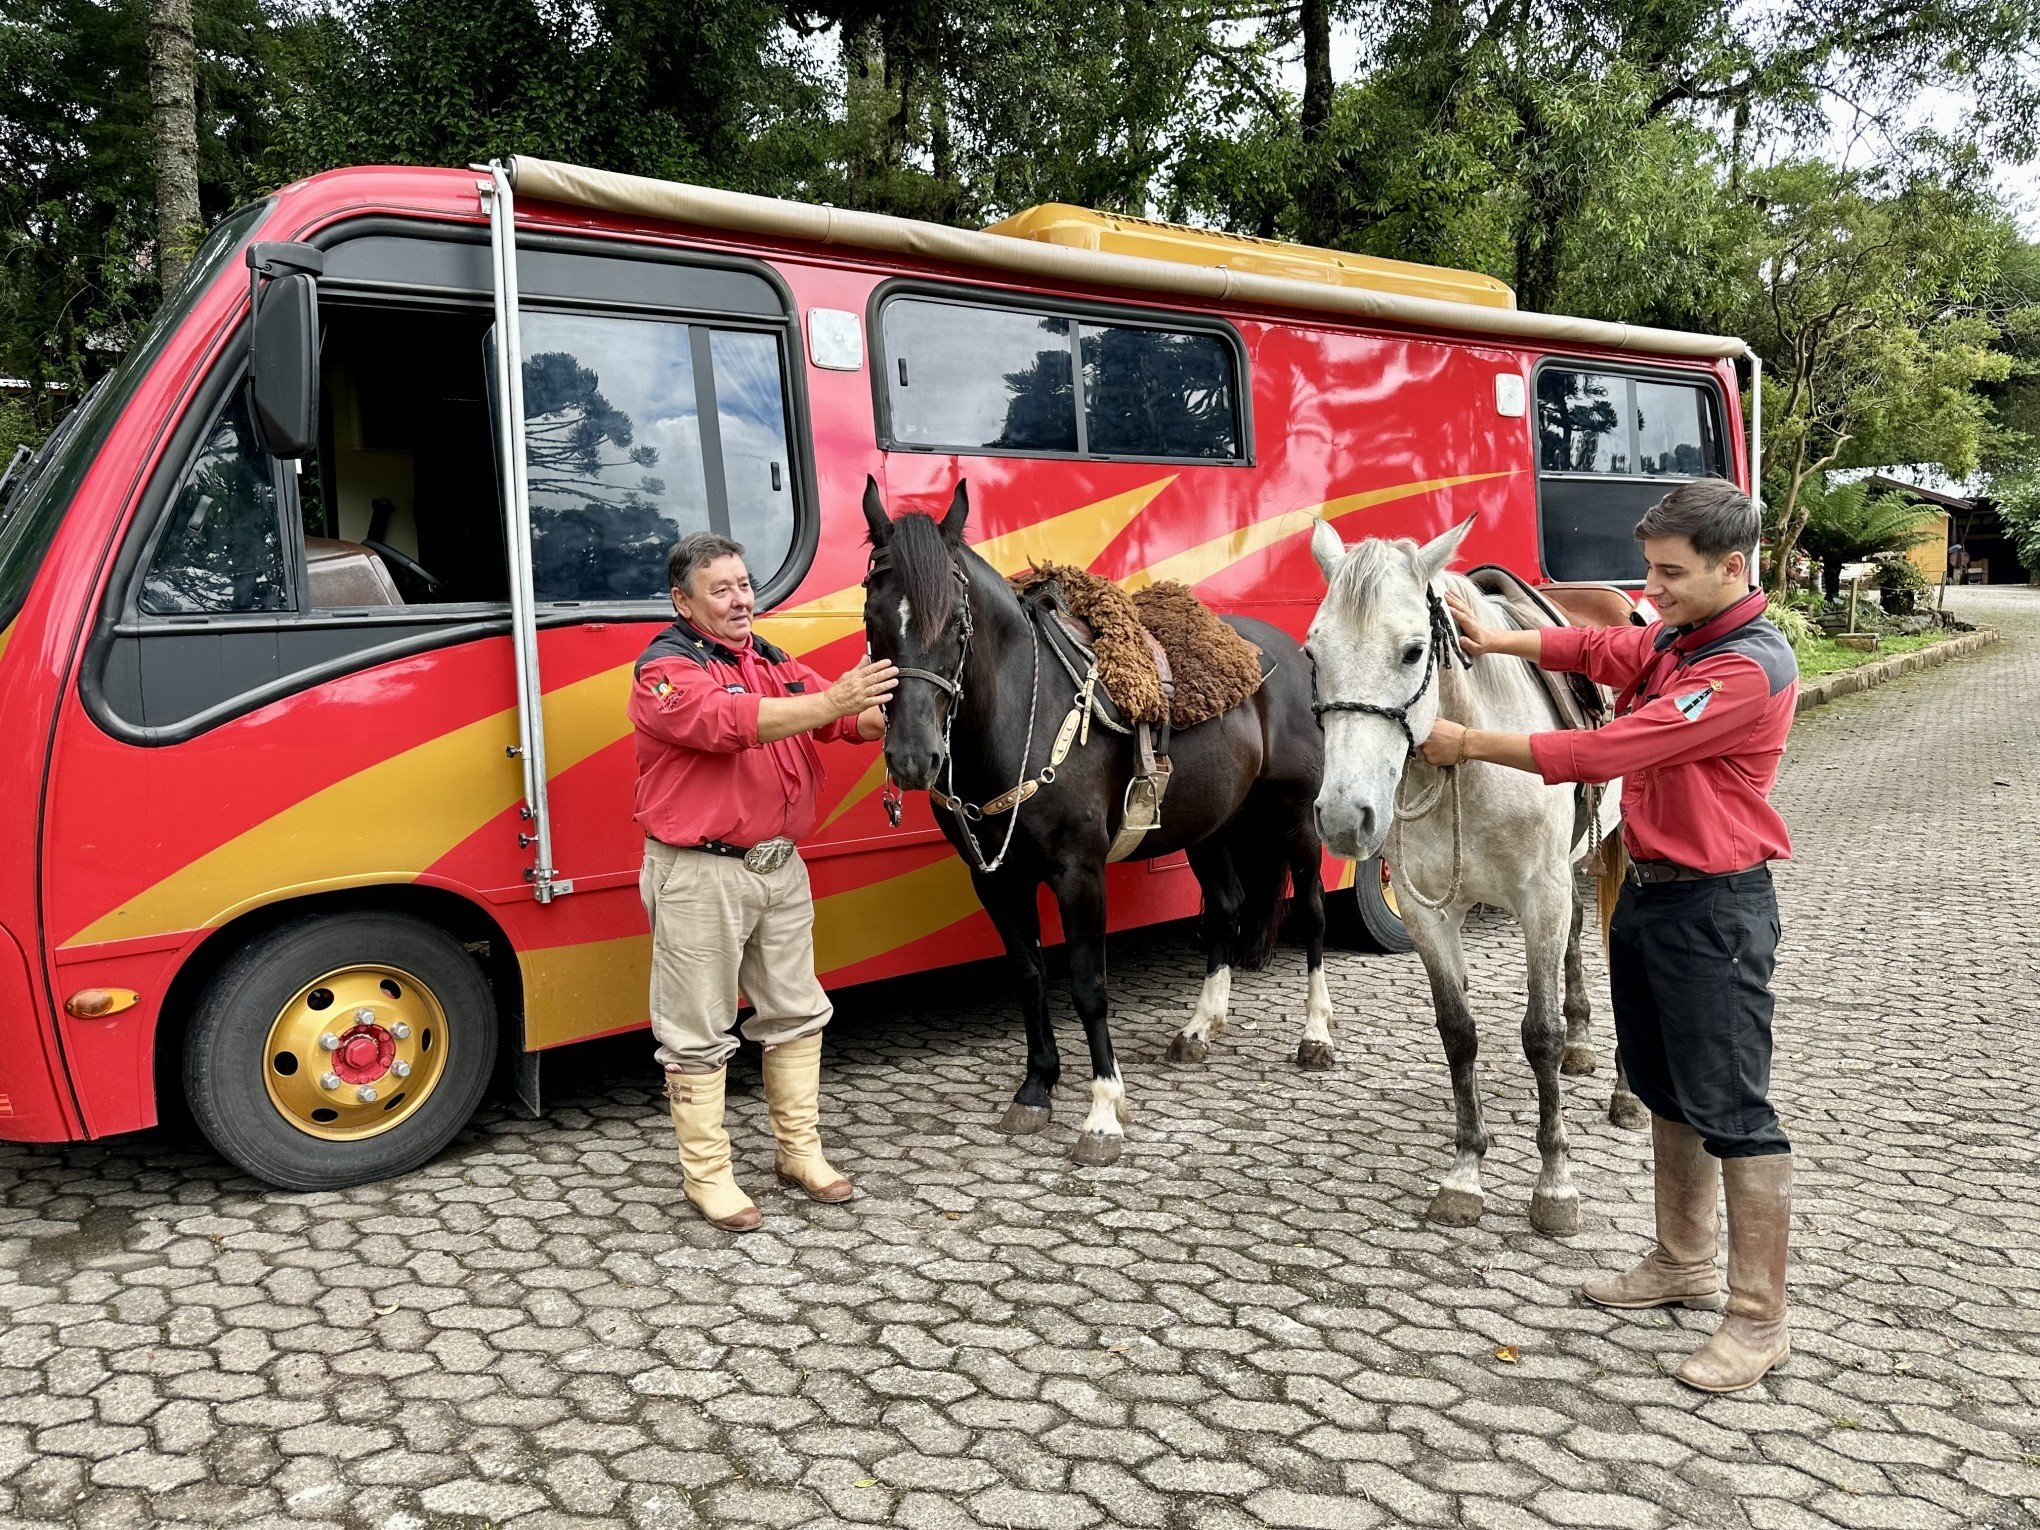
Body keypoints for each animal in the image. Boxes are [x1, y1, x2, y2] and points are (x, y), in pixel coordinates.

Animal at [864, 485, 1330, 1166]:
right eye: (873, 616)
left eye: (955, 621)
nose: (913, 757)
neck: (1021, 718)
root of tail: (1287, 653)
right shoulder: (994, 879)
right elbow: (1028, 974)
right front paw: (1036, 1088)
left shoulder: (1078, 872)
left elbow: (1087, 984)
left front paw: (1103, 1113)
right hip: (1212, 827)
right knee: (1226, 907)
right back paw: (1200, 1028)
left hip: (1296, 816)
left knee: (1314, 910)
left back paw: (1316, 1035)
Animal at [1313, 522, 1632, 1240]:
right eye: (1313, 653)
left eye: (1412, 651)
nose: (1346, 817)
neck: (1470, 762)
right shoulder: (1429, 914)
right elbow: (1458, 1031)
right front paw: (1465, 1170)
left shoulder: (1539, 899)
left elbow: (1537, 1034)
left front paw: (1555, 1183)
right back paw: (1583, 1043)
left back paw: (1627, 1094)